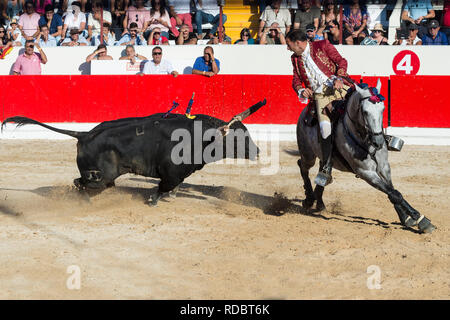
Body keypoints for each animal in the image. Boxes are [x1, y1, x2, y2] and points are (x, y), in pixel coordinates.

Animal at [1, 99, 266, 205]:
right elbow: (162, 189)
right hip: (98, 177)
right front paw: (154, 201)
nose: (257, 151)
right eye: (239, 138)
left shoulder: (177, 175)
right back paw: (87, 200)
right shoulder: (171, 174)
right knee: (80, 183)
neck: (200, 137)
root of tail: (84, 134)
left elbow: (171, 189)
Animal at [296, 80, 436, 234]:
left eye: (383, 109)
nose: (379, 142)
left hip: (324, 158)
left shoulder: (384, 167)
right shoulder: (365, 172)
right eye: (364, 111)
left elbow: (392, 190)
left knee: (322, 172)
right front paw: (422, 220)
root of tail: (305, 113)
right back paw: (309, 199)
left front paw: (406, 218)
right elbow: (393, 193)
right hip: (308, 155)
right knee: (302, 166)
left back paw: (319, 203)